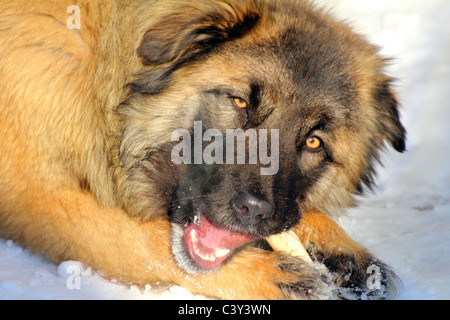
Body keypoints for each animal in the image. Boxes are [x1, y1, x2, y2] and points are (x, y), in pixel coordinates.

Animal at [0, 0, 404, 300]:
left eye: (314, 141)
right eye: (241, 103)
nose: (253, 209)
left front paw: (340, 247)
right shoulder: (34, 197)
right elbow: (142, 242)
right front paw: (266, 276)